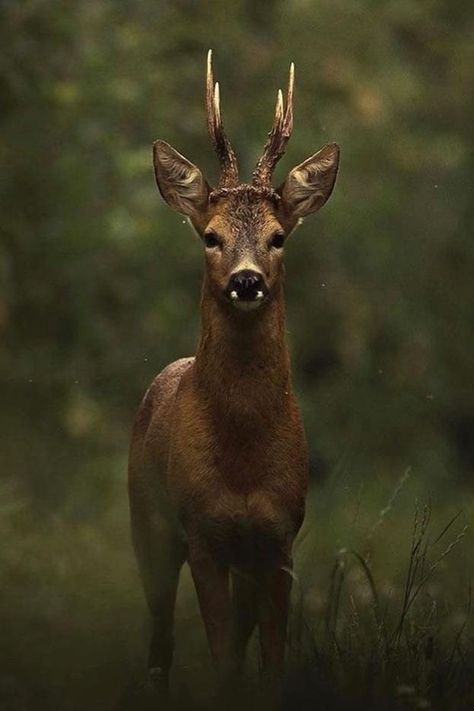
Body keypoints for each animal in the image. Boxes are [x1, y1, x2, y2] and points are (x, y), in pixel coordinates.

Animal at [128, 51, 338, 696]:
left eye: (278, 236)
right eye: (211, 236)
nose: (247, 280)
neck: (243, 465)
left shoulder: (280, 538)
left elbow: (268, 658)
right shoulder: (201, 531)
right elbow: (221, 655)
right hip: (145, 519)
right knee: (160, 629)